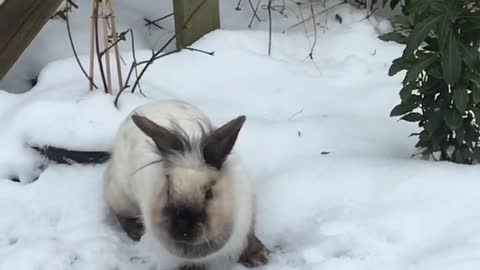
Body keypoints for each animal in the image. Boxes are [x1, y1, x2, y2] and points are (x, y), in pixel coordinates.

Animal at [103, 100, 268, 270]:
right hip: (121, 196)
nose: (183, 229)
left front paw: (259, 257)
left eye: (209, 194)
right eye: (168, 191)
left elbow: (250, 239)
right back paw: (136, 232)